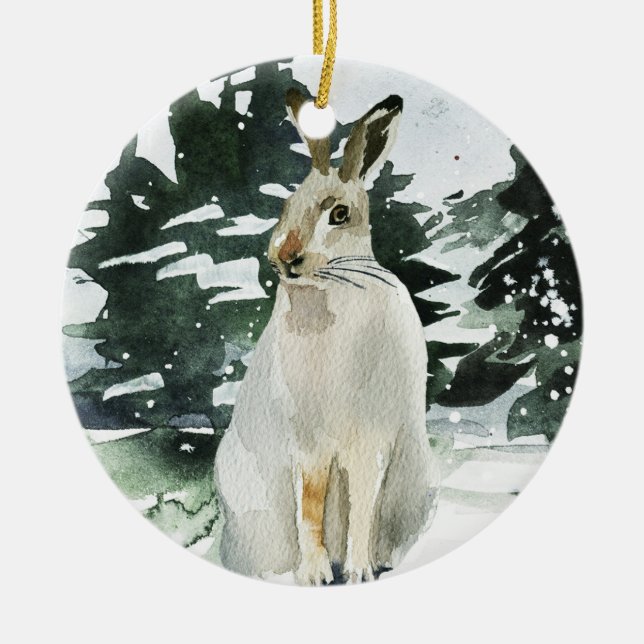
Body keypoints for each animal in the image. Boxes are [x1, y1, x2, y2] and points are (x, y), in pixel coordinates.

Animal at [214, 89, 440, 585]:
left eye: (339, 214)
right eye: (287, 204)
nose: (284, 256)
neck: (335, 286)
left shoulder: (372, 438)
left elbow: (363, 504)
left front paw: (357, 572)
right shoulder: (308, 441)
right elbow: (311, 505)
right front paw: (316, 574)